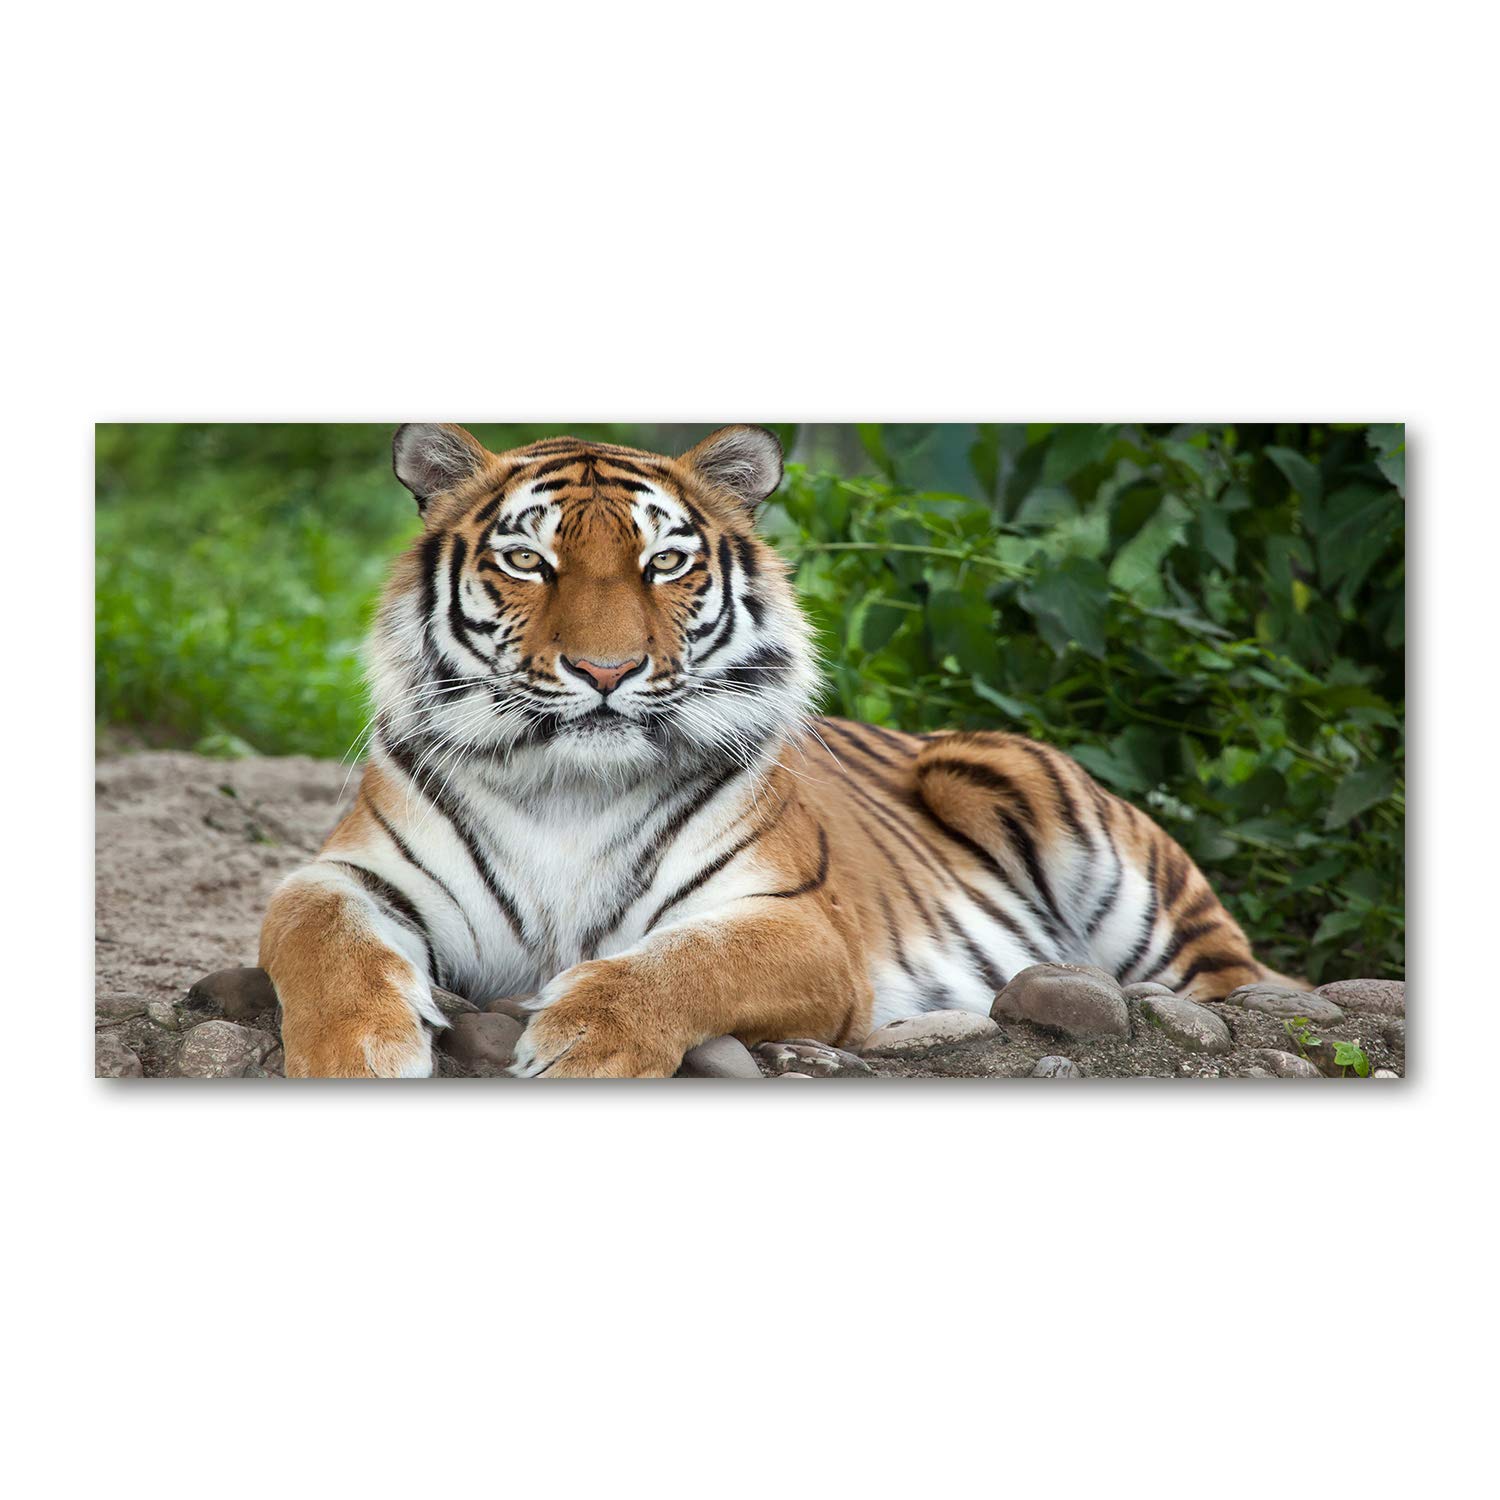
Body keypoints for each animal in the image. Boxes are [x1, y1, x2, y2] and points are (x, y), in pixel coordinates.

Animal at [259, 422, 1276, 1077]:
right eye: (528, 563)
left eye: (664, 563)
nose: (604, 669)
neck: (569, 788)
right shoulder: (348, 875)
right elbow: (321, 938)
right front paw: (359, 1052)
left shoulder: (798, 923)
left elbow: (686, 963)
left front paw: (584, 1038)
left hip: (1031, 797)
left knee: (1239, 983)